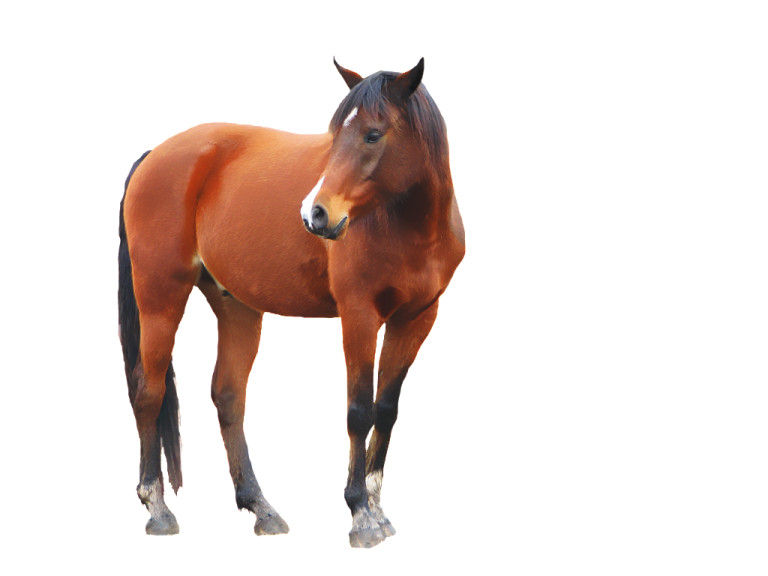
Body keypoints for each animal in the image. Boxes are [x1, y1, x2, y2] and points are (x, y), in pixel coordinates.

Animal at [117, 55, 466, 549]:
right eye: (336, 135)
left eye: (373, 134)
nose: (315, 214)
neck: (405, 224)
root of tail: (154, 155)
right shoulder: (359, 316)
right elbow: (359, 410)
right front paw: (360, 512)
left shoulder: (416, 319)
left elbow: (386, 408)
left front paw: (378, 507)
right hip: (160, 297)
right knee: (149, 391)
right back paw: (157, 508)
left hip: (236, 306)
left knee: (227, 395)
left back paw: (260, 508)